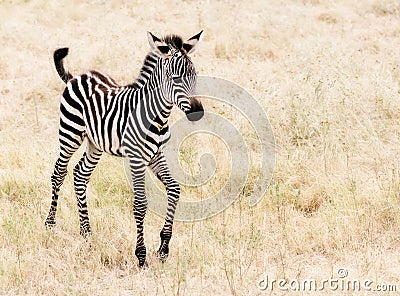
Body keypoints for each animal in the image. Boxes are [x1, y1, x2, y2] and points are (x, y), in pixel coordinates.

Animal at [45, 31, 205, 268]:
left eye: (195, 76)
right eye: (176, 79)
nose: (198, 112)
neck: (157, 117)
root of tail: (78, 76)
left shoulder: (156, 155)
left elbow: (174, 189)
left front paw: (164, 248)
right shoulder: (136, 158)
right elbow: (140, 204)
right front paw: (141, 256)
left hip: (95, 143)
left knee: (80, 175)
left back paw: (86, 232)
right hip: (70, 133)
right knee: (59, 173)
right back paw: (50, 224)